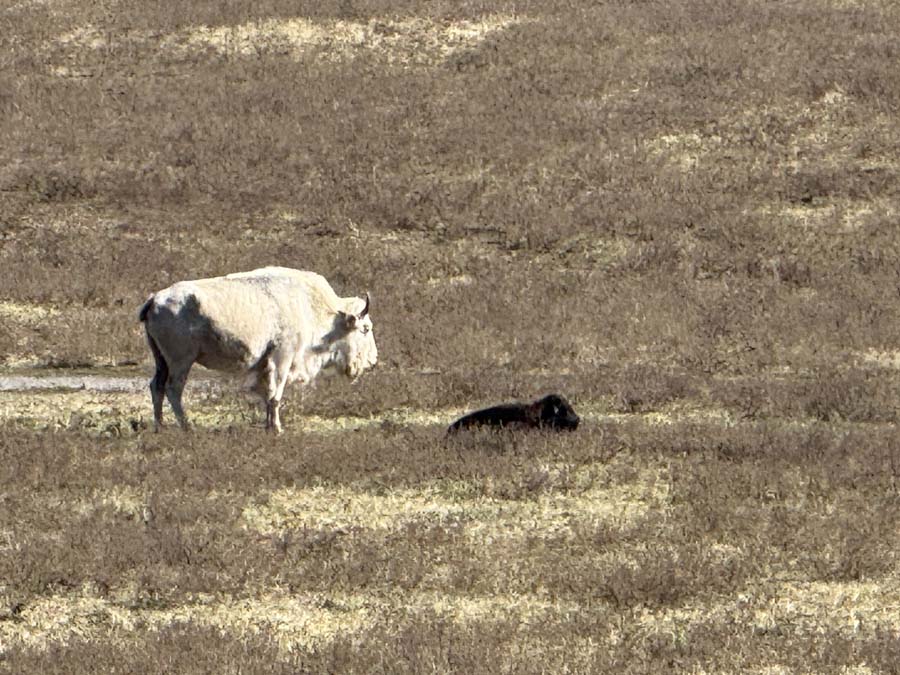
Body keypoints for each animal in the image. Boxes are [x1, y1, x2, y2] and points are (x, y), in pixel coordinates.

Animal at [138, 266, 378, 433]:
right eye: (365, 329)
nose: (373, 361)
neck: (309, 306)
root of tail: (154, 299)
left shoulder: (265, 364)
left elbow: (267, 394)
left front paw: (268, 425)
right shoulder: (282, 358)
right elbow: (275, 395)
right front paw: (277, 429)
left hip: (162, 361)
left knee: (157, 386)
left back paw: (160, 427)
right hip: (181, 362)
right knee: (173, 389)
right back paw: (188, 427)